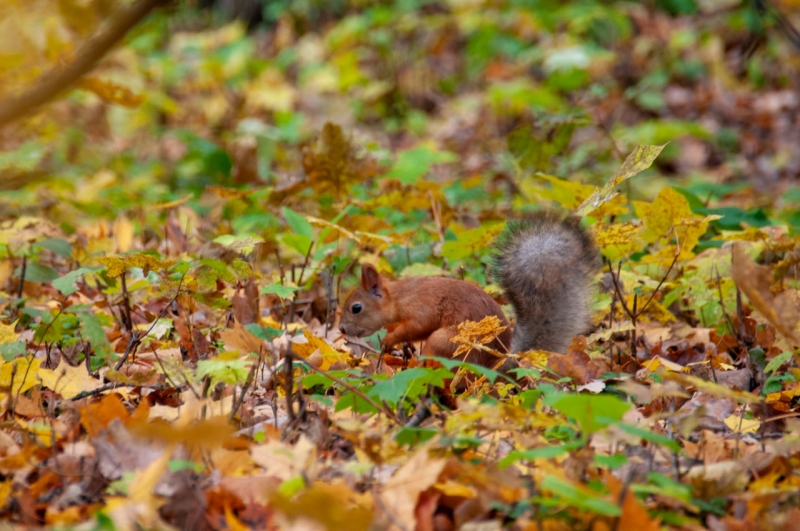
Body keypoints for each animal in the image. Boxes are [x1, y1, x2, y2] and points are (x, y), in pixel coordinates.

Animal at [338, 210, 600, 372]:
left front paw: (391, 339)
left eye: (356, 308)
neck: (401, 297)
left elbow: (419, 326)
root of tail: (499, 366)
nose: (340, 329)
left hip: (447, 342)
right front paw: (401, 343)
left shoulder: (422, 308)